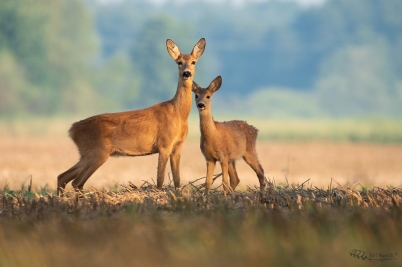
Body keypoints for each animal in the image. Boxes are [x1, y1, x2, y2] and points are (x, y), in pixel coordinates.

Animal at [57, 37, 207, 196]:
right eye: (179, 62)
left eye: (193, 62)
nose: (186, 73)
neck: (178, 113)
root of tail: (72, 130)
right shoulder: (164, 144)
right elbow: (160, 180)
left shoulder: (177, 146)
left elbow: (177, 181)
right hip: (97, 153)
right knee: (76, 182)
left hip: (86, 154)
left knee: (63, 177)